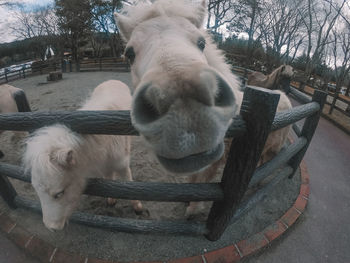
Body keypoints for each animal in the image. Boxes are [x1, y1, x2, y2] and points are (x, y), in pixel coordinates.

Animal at [23, 80, 143, 231]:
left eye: (59, 193)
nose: (51, 228)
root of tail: (112, 80)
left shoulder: (122, 165)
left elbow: (129, 185)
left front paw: (138, 208)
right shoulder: (104, 166)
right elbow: (110, 178)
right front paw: (111, 200)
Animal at [115, 0, 292, 217]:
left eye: (201, 43)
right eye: (129, 54)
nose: (186, 112)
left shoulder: (213, 163)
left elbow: (202, 185)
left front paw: (192, 211)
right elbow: (193, 181)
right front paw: (188, 200)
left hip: (272, 151)